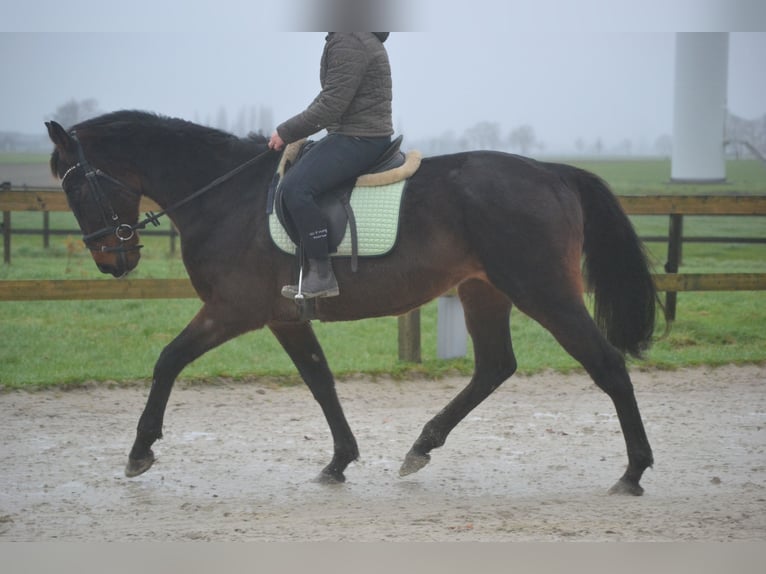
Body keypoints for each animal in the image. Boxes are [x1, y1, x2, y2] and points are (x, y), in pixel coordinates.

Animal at [48, 110, 660, 498]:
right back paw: (422, 446)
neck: (225, 197)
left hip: (543, 290)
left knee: (607, 366)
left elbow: (168, 360)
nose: (112, 259)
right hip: (484, 290)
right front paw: (339, 461)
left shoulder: (232, 310)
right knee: (494, 366)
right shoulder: (283, 316)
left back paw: (634, 472)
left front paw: (139, 451)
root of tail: (552, 172)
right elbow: (320, 379)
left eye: (74, 187)